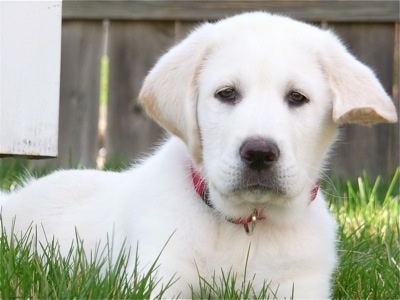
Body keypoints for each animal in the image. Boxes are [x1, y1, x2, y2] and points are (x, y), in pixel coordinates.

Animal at [0, 11, 396, 298]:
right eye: (226, 94)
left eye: (297, 97)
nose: (259, 153)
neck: (246, 226)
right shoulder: (159, 275)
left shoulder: (301, 284)